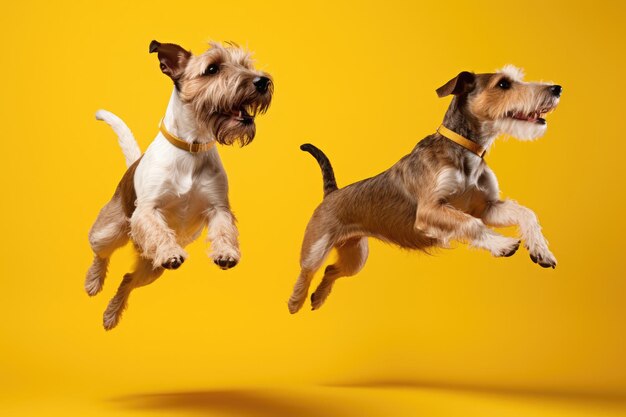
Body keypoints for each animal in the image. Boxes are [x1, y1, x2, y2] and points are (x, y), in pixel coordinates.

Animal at [86, 39, 272, 328]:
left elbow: (223, 230)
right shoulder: (148, 210)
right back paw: (94, 282)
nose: (262, 81)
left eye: (245, 64)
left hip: (151, 269)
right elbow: (159, 230)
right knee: (100, 253)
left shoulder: (218, 208)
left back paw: (111, 314)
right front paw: (170, 252)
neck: (192, 148)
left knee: (127, 280)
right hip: (109, 232)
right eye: (212, 68)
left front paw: (225, 252)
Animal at [288, 64, 560, 312]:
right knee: (306, 272)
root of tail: (332, 193)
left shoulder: (486, 207)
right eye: (503, 84)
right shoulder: (431, 210)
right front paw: (502, 245)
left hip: (355, 256)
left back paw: (318, 298)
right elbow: (471, 224)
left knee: (332, 269)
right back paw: (296, 302)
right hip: (316, 247)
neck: (465, 151)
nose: (556, 88)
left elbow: (525, 213)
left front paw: (540, 250)